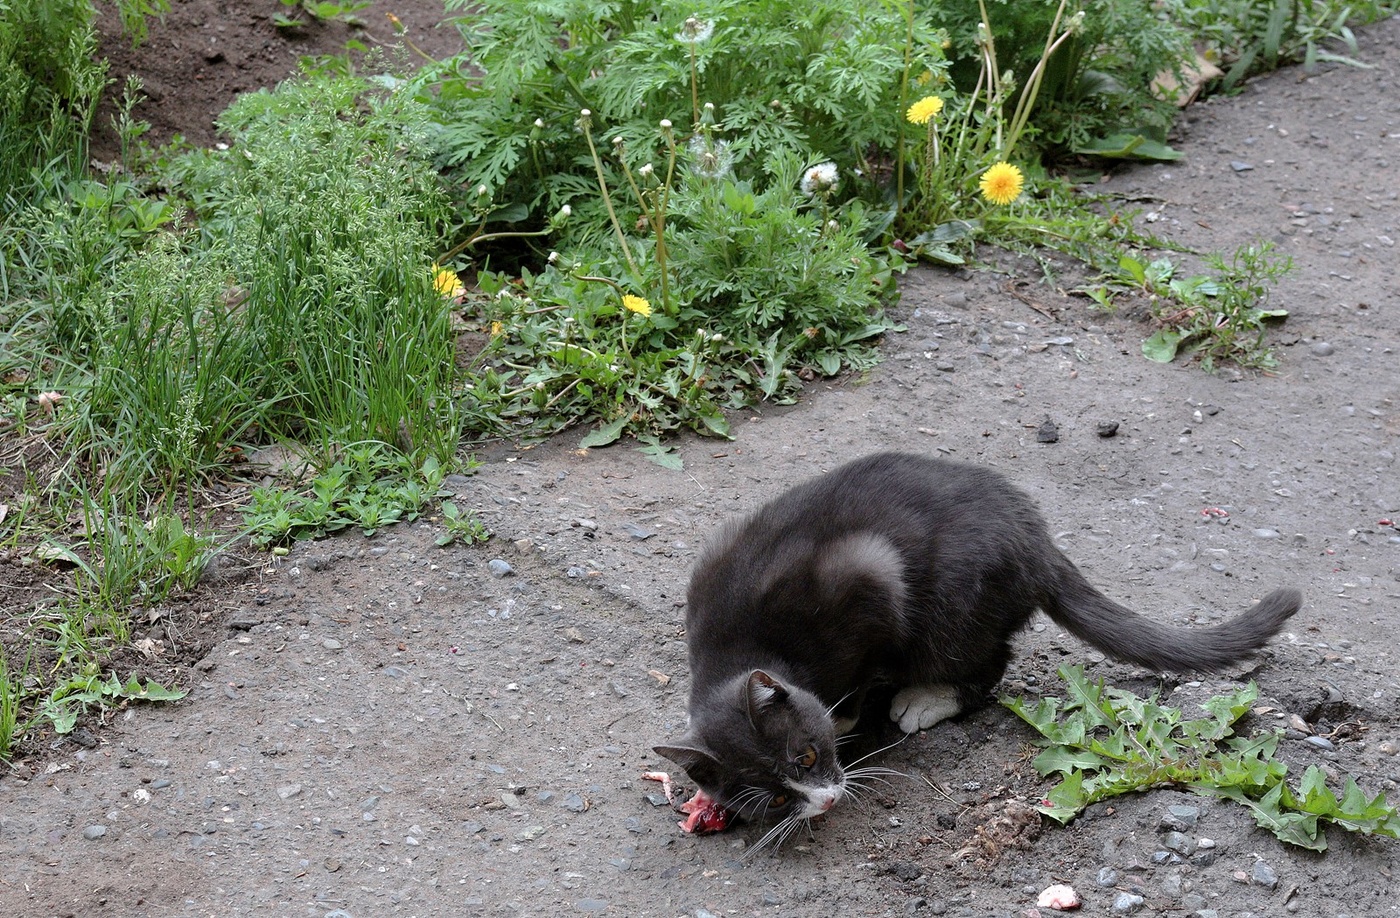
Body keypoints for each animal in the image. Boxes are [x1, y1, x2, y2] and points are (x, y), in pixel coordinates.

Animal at [655, 450, 1299, 845]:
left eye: (807, 758)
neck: (737, 647)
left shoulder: (868, 579)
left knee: (989, 662)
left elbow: (856, 677)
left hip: (953, 605)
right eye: (770, 800)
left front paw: (845, 716)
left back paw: (925, 698)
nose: (823, 800)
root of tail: (1036, 539)